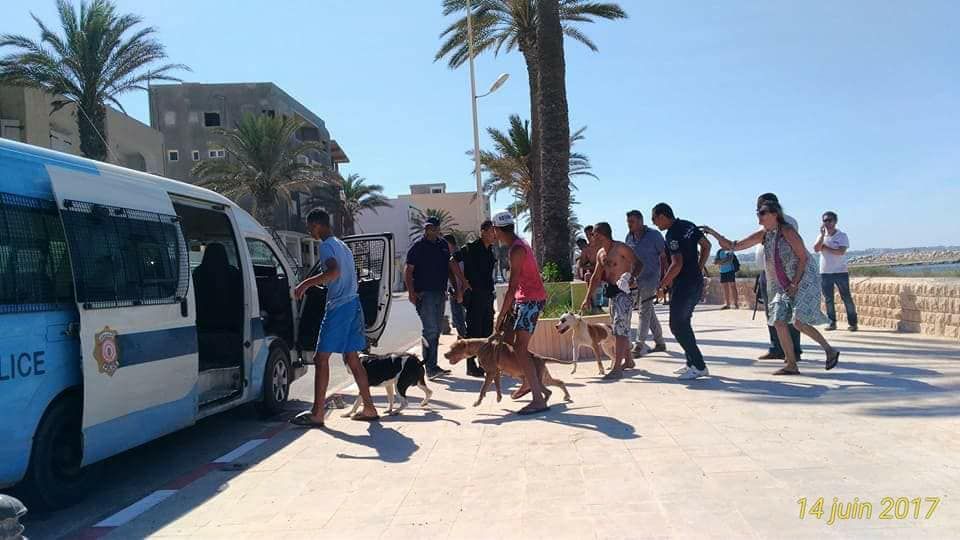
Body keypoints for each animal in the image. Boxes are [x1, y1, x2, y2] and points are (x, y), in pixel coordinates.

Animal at [444, 337, 574, 406]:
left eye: (453, 349)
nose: (445, 354)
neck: (480, 346)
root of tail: (541, 357)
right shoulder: (495, 373)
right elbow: (497, 386)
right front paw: (499, 397)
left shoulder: (490, 373)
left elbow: (483, 389)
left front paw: (478, 401)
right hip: (544, 378)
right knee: (559, 382)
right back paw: (566, 396)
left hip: (537, 379)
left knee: (548, 392)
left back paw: (541, 403)